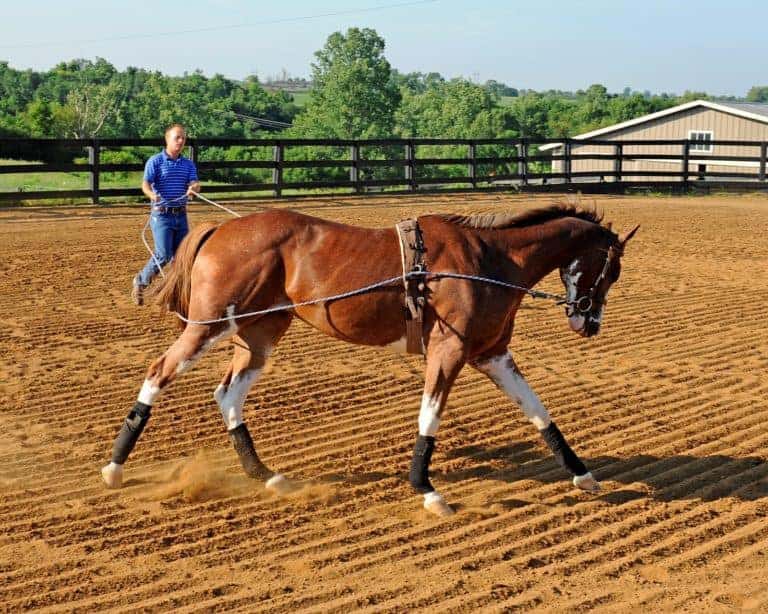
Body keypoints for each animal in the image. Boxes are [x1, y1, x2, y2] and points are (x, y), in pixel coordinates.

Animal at [101, 204, 638, 517]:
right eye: (610, 269)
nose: (589, 322)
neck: (488, 261)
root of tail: (221, 229)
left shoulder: (492, 355)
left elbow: (539, 412)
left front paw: (582, 474)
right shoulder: (448, 352)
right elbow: (430, 418)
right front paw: (426, 489)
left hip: (260, 333)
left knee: (228, 393)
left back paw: (264, 474)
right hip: (209, 326)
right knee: (158, 373)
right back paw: (114, 468)